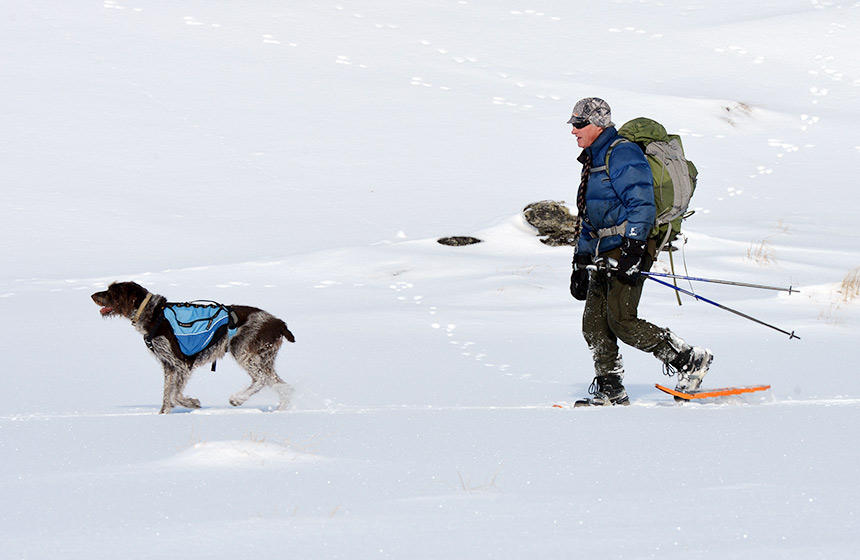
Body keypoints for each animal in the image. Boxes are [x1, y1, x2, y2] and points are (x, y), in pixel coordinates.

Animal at [91, 282, 296, 414]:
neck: (154, 315)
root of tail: (279, 323)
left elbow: (175, 395)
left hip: (242, 350)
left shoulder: (182, 363)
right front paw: (163, 415)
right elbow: (167, 395)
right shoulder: (168, 365)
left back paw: (237, 399)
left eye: (111, 292)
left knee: (262, 379)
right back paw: (281, 410)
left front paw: (193, 403)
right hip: (264, 357)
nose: (92, 295)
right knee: (281, 384)